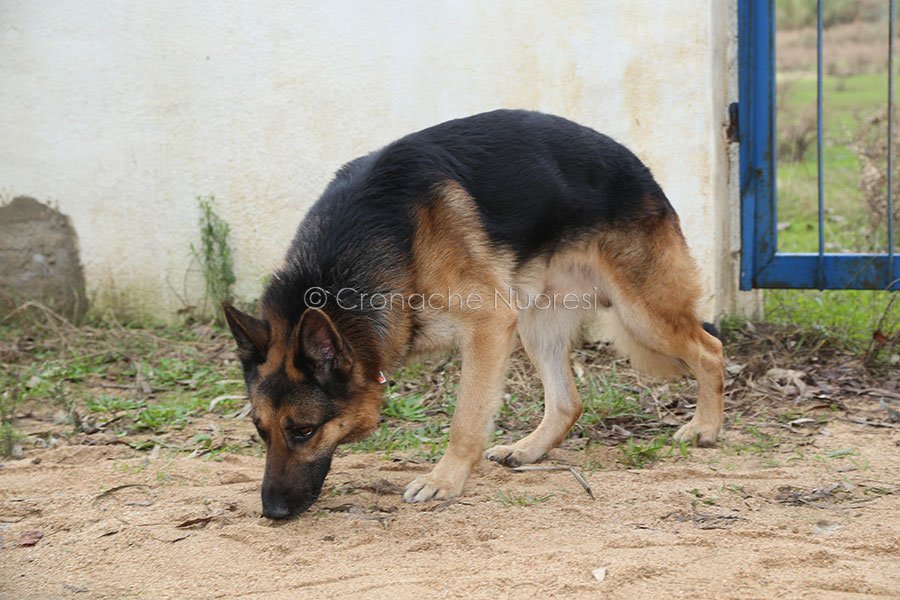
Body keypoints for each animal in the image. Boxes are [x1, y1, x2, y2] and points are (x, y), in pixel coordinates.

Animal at [223, 110, 724, 516]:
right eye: (261, 431)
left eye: (304, 430)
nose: (272, 511)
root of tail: (638, 166)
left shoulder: (488, 326)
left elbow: (465, 419)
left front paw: (444, 481)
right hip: (536, 323)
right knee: (568, 402)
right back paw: (529, 450)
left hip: (641, 312)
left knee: (711, 349)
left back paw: (705, 427)